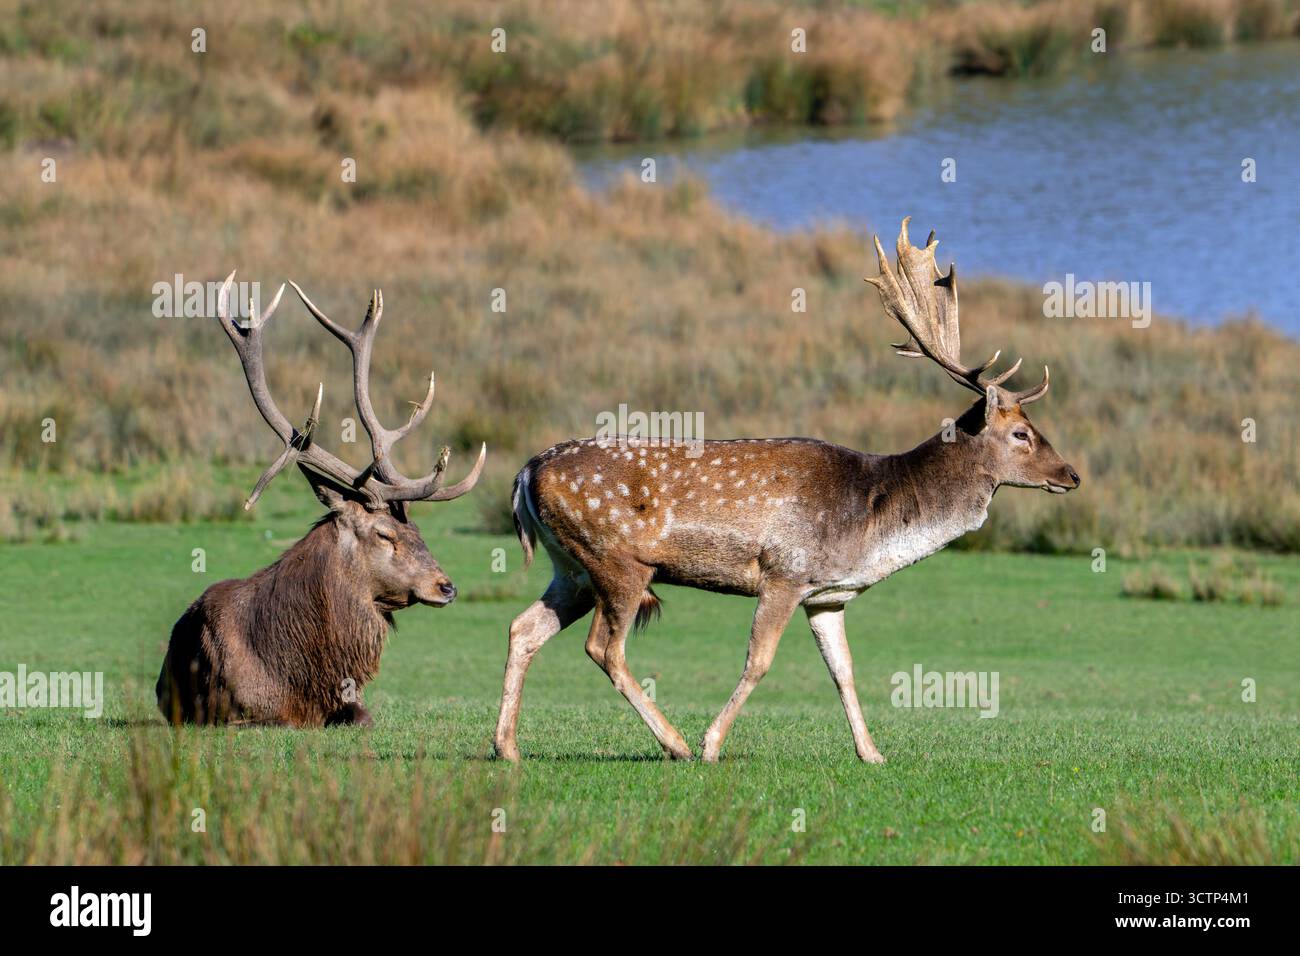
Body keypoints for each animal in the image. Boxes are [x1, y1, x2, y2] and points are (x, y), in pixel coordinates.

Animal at [156, 273, 485, 726]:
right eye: (384, 534)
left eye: (416, 529)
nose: (447, 586)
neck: (297, 674)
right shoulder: (230, 713)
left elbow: (362, 716)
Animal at [493, 219, 1080, 763]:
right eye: (1021, 433)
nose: (1072, 474)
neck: (872, 520)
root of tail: (525, 473)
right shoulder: (785, 572)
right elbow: (758, 662)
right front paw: (711, 744)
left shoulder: (827, 595)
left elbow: (844, 671)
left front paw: (871, 753)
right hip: (618, 561)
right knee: (604, 648)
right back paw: (675, 744)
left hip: (570, 567)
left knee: (523, 628)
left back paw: (508, 747)